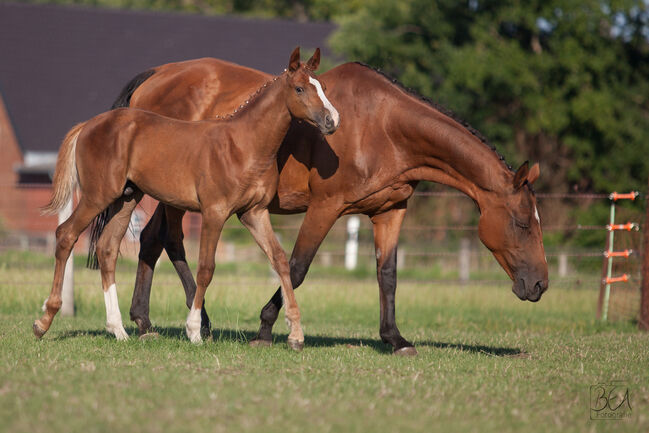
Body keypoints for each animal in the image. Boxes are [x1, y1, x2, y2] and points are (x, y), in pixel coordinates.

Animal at [34, 46, 340, 348]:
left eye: (324, 87)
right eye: (299, 88)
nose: (332, 121)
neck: (243, 144)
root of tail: (88, 124)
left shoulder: (254, 213)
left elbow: (280, 261)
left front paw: (296, 334)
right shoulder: (214, 212)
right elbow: (206, 267)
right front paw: (194, 330)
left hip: (126, 198)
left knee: (107, 248)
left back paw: (118, 330)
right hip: (97, 196)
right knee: (66, 235)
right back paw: (44, 321)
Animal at [93, 54, 548, 352]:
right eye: (523, 222)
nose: (540, 285)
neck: (383, 126)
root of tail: (158, 75)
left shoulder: (390, 211)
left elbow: (387, 274)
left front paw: (395, 338)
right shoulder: (326, 207)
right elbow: (296, 266)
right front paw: (267, 328)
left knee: (152, 242)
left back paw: (145, 321)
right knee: (170, 242)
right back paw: (195, 322)